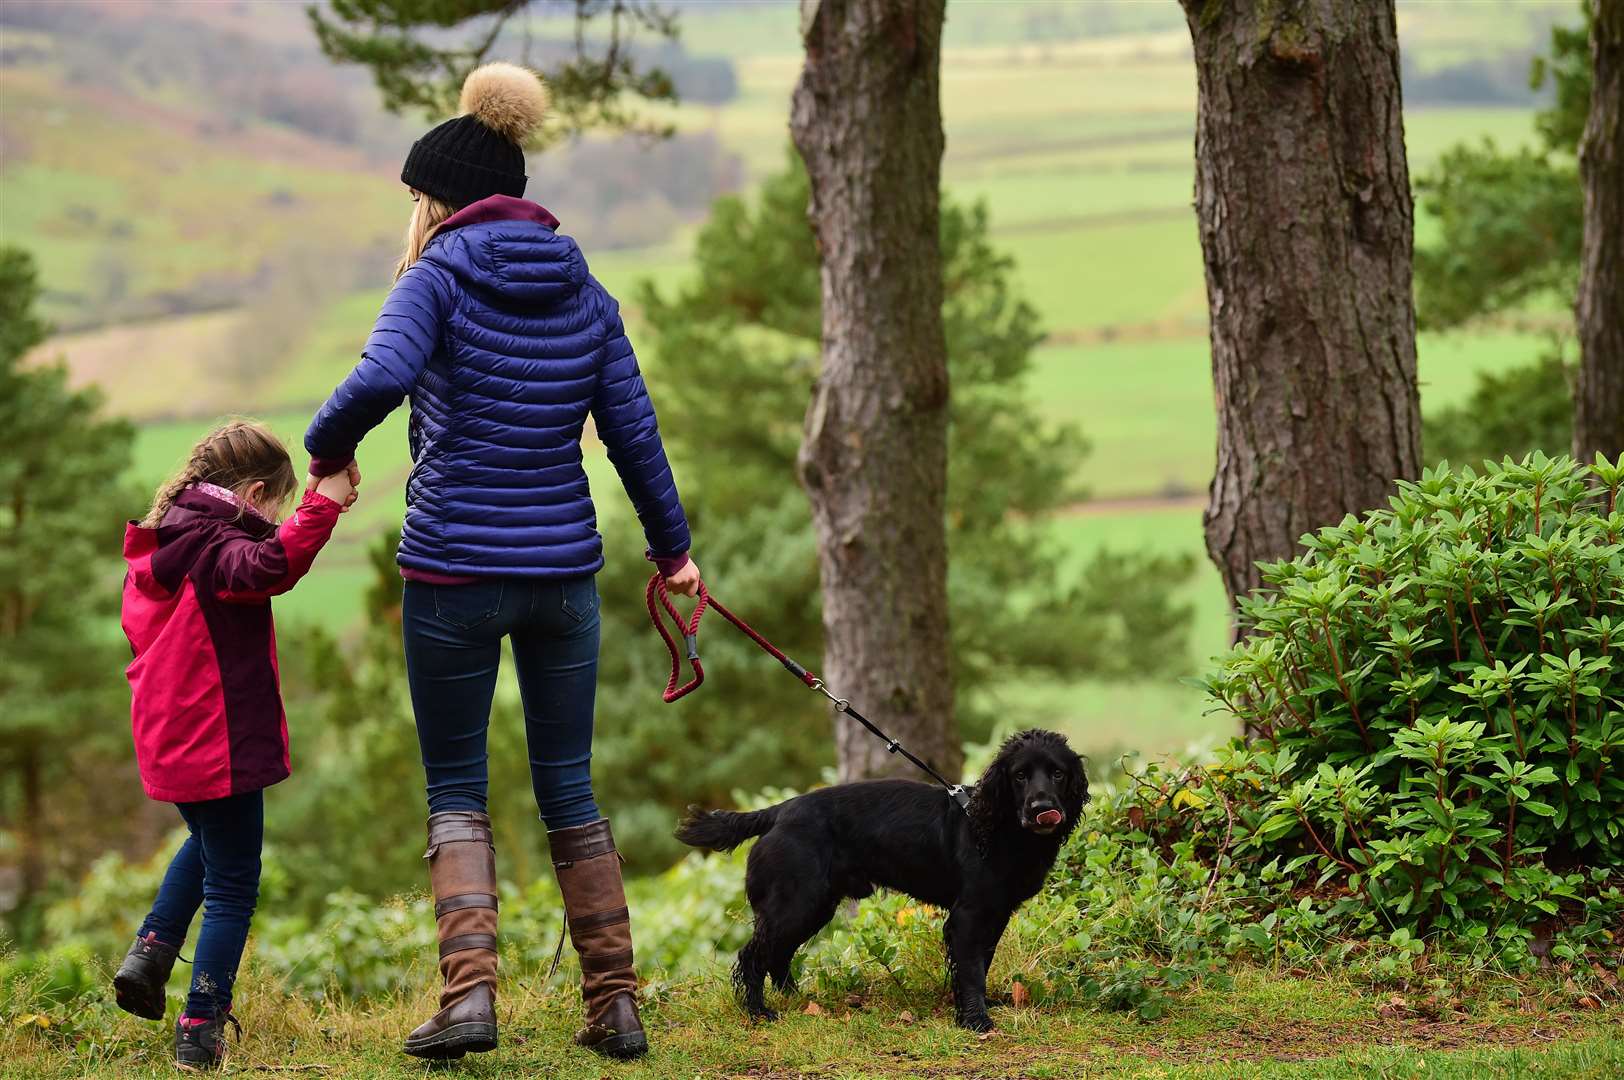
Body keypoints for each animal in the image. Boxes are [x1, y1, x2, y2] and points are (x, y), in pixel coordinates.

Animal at [675, 724, 1091, 1026]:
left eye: (1057, 773)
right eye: (1020, 776)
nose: (1041, 808)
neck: (1000, 829)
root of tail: (778, 812)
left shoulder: (995, 912)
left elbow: (981, 963)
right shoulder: (968, 915)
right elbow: (971, 968)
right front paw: (975, 1020)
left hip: (814, 906)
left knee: (777, 955)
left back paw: (797, 1000)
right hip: (795, 903)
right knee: (752, 956)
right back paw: (759, 1012)